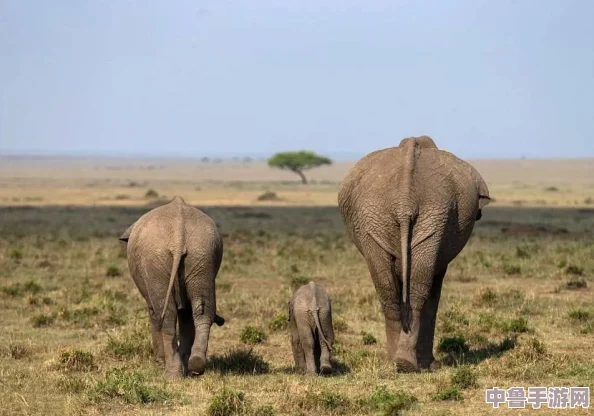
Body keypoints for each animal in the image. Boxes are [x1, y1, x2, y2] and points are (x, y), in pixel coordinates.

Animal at [336, 136, 488, 374]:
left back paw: (399, 363)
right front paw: (429, 365)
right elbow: (435, 287)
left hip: (397, 214)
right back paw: (407, 364)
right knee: (417, 289)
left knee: (389, 289)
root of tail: (405, 200)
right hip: (419, 212)